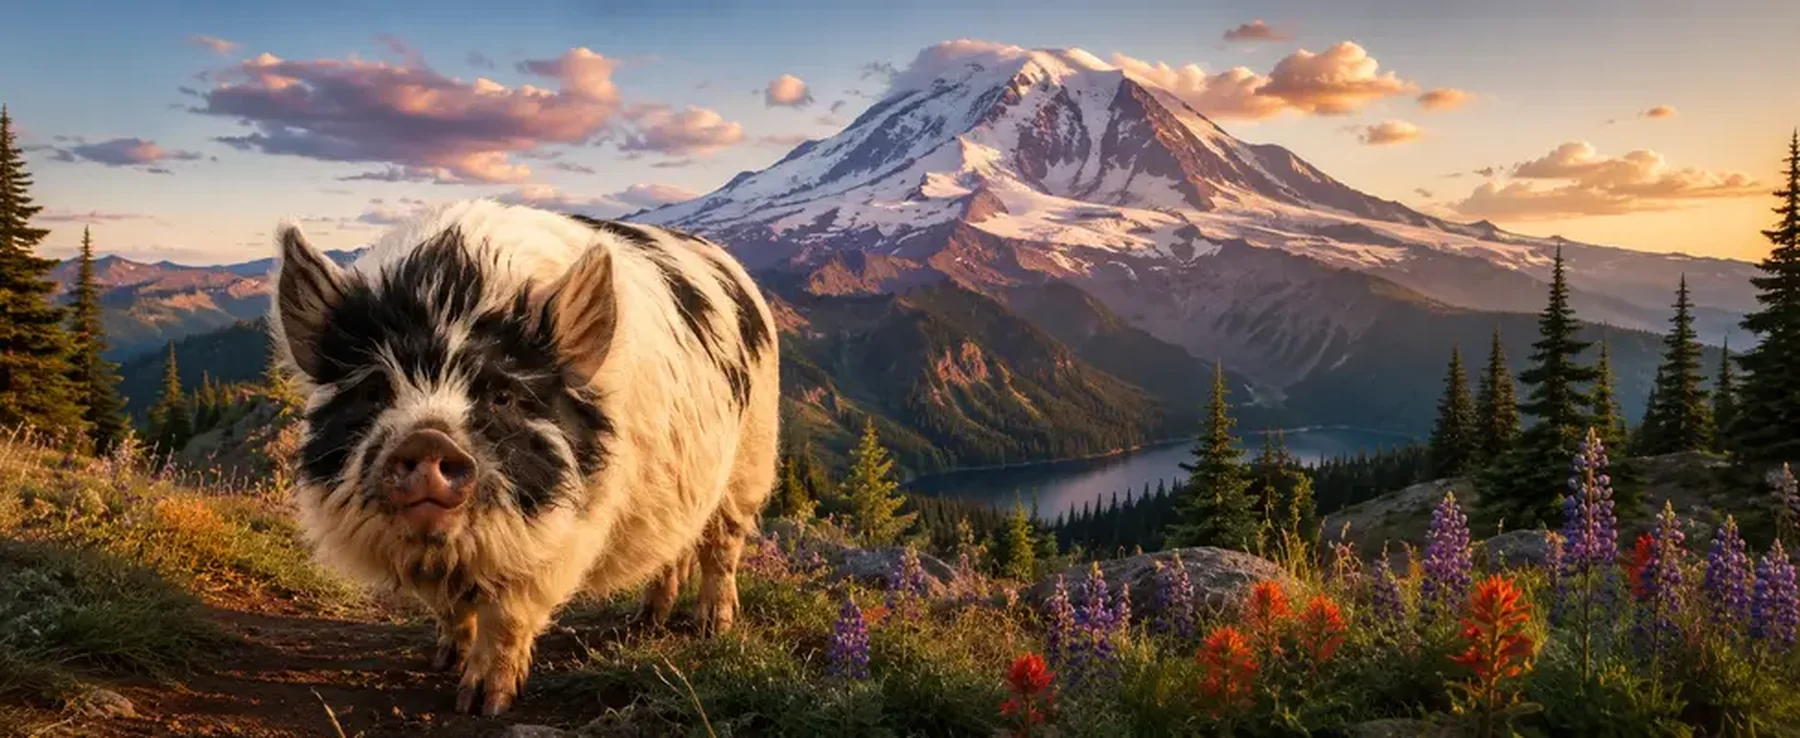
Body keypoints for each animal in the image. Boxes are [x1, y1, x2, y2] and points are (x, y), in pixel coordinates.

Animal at [268, 199, 779, 715]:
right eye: (374, 390)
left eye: (502, 396)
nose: (428, 439)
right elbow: (450, 606)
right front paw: (445, 660)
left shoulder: (564, 535)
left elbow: (509, 615)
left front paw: (481, 704)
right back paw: (647, 620)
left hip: (752, 459)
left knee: (722, 546)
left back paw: (712, 627)